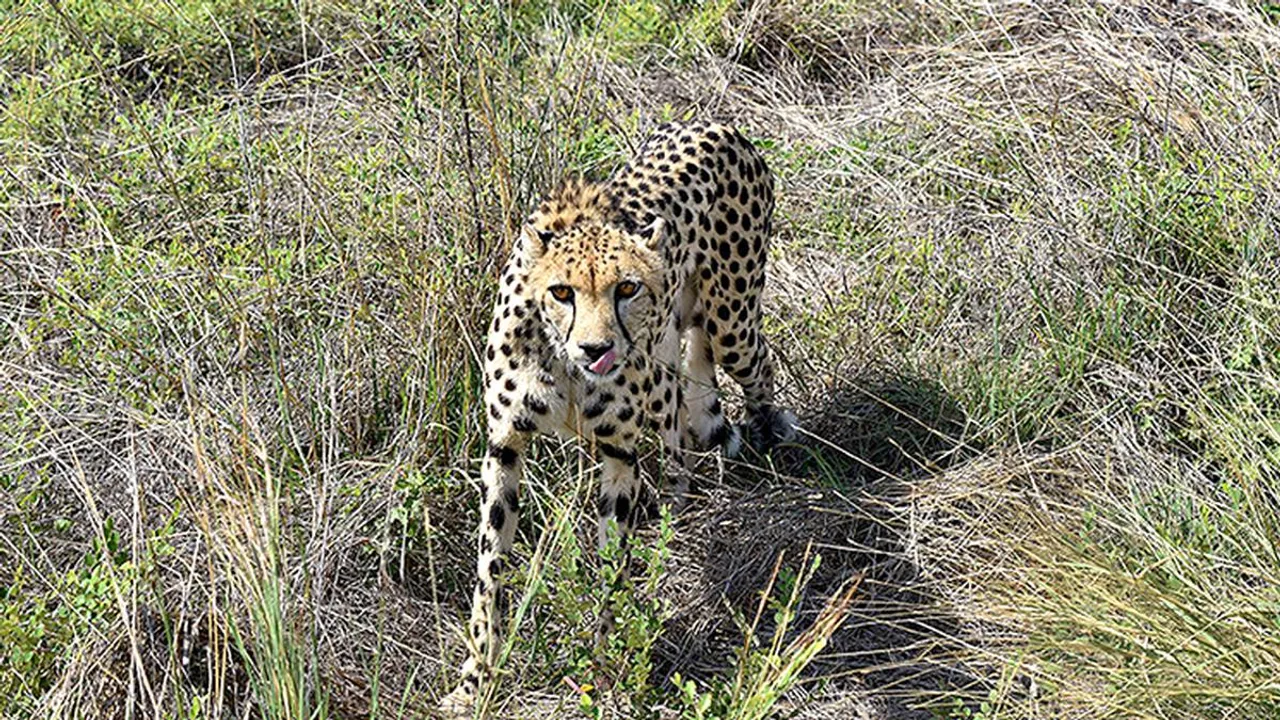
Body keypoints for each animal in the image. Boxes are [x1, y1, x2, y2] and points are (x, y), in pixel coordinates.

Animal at [445, 120, 793, 707]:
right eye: (562, 292)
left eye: (626, 288)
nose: (597, 349)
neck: (563, 363)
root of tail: (713, 123)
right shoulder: (504, 446)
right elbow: (489, 572)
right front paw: (474, 682)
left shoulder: (618, 453)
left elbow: (612, 568)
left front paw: (603, 666)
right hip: (679, 348)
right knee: (683, 413)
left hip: (732, 324)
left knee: (755, 367)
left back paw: (762, 439)